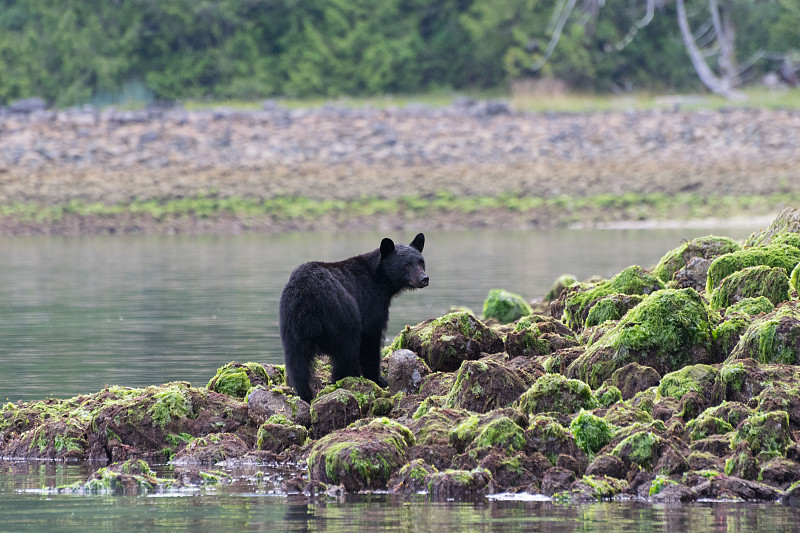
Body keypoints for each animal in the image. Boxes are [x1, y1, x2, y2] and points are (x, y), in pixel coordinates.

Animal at [282, 231, 432, 402]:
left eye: (421, 262)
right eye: (406, 265)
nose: (424, 279)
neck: (379, 278)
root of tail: (308, 295)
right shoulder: (371, 301)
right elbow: (371, 339)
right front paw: (378, 379)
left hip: (292, 325)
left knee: (297, 362)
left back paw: (305, 395)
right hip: (342, 314)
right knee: (346, 350)